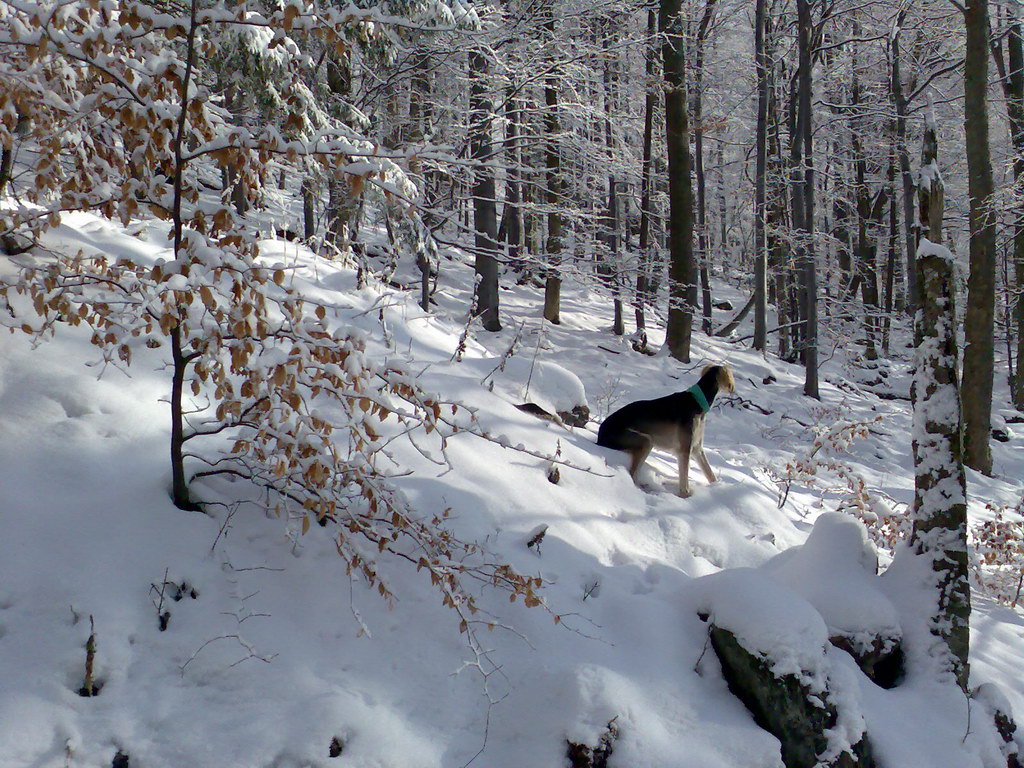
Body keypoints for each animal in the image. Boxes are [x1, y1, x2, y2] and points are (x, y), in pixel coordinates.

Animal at [598, 364, 733, 499]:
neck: (697, 401)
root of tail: (600, 435)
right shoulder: (684, 450)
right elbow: (684, 477)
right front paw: (685, 495)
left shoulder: (697, 448)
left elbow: (709, 471)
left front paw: (718, 487)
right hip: (646, 440)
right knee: (632, 473)